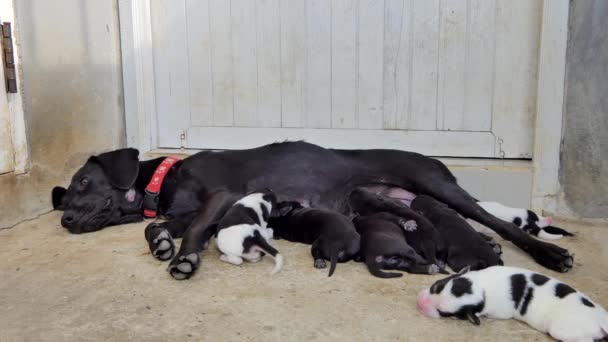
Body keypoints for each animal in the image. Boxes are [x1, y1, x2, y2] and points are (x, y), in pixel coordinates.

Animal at [52, 142, 576, 278]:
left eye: (83, 181)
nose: (65, 219)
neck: (165, 178)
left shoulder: (219, 198)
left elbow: (195, 226)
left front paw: (184, 257)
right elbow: (158, 225)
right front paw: (160, 239)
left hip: (436, 185)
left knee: (492, 220)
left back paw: (548, 254)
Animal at [418, 266, 608, 342]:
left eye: (443, 313)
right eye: (436, 286)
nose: (420, 303)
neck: (483, 289)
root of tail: (600, 320)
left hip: (563, 329)